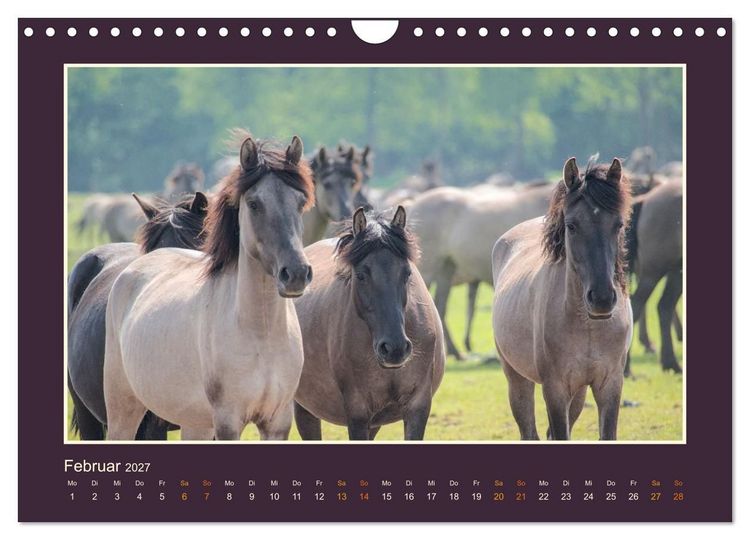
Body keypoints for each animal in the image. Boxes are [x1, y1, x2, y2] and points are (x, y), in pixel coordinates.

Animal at [103, 132, 314, 440]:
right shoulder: (228, 422)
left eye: (300, 202)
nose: (296, 273)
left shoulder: (276, 423)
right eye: (254, 204)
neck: (261, 333)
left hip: (196, 423)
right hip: (124, 410)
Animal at [293, 207, 445, 440]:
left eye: (407, 273)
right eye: (361, 275)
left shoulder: (418, 407)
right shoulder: (357, 413)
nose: (394, 349)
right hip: (304, 408)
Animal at [491, 158, 633, 440]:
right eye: (572, 226)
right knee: (529, 430)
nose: (602, 299)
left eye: (619, 225)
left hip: (578, 391)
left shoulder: (610, 385)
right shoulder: (555, 389)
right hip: (517, 378)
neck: (589, 325)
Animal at [626, 178, 683, 374]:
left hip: (675, 271)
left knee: (664, 306)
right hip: (654, 271)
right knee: (637, 305)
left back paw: (671, 363)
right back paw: (627, 369)